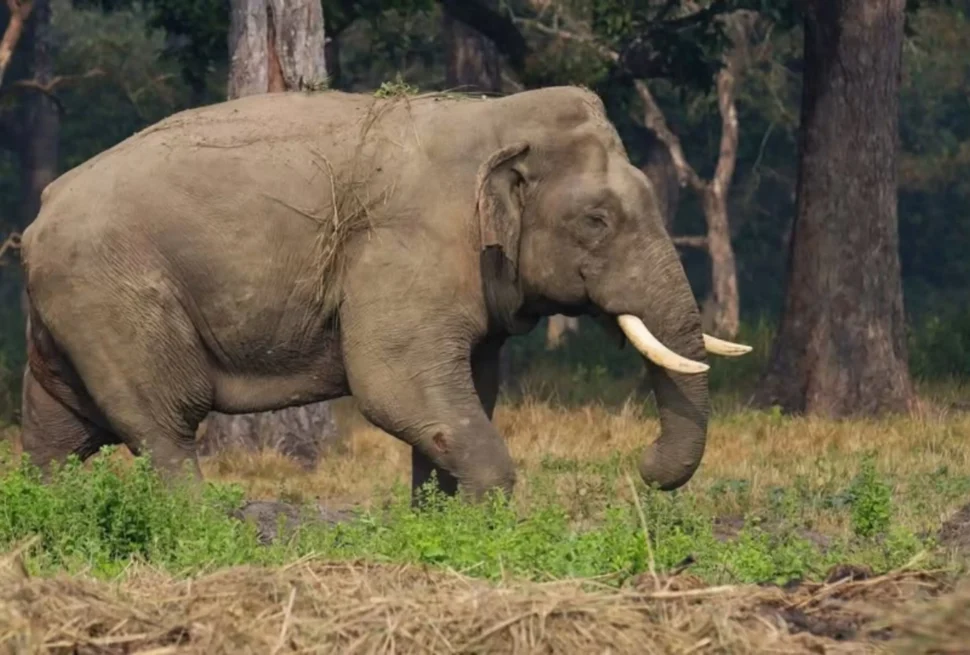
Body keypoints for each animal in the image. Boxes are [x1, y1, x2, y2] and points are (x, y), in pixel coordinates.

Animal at [18, 85, 751, 502]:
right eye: (597, 221)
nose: (643, 467)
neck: (492, 121)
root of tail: (38, 215)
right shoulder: (409, 245)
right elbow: (396, 386)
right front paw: (490, 523)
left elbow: (464, 393)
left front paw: (438, 522)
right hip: (112, 295)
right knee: (163, 421)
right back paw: (207, 532)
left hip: (71, 311)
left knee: (57, 430)